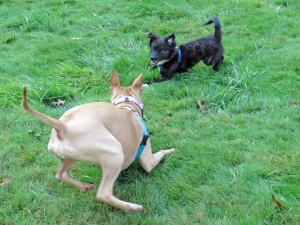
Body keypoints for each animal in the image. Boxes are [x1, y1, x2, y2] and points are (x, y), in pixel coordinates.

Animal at [22, 71, 175, 213]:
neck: (127, 106)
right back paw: (131, 207)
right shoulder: (148, 160)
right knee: (103, 194)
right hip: (114, 153)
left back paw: (84, 186)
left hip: (70, 157)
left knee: (61, 174)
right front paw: (171, 150)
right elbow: (161, 153)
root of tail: (62, 125)